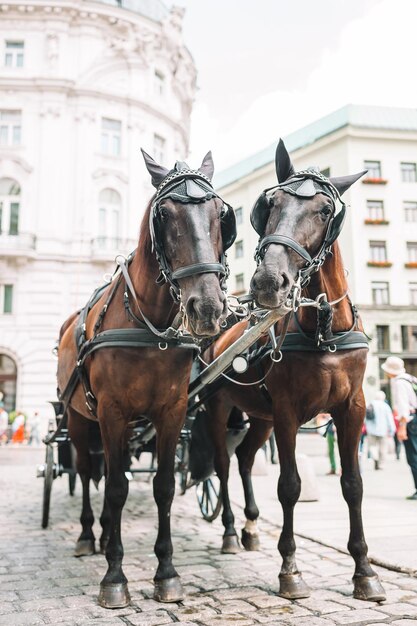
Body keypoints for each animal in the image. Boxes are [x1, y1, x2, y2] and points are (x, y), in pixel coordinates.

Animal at [56, 149, 236, 608]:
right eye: (165, 214)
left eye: (220, 214)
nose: (208, 308)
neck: (150, 327)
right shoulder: (112, 413)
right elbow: (117, 487)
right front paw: (114, 577)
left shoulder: (171, 412)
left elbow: (164, 487)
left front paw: (166, 572)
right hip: (79, 420)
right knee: (87, 470)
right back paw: (89, 535)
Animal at [203, 140, 386, 600]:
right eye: (270, 205)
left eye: (325, 210)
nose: (269, 282)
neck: (324, 329)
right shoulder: (287, 412)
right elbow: (289, 486)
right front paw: (290, 569)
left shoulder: (352, 409)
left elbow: (353, 485)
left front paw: (364, 570)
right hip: (221, 410)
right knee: (223, 464)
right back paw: (230, 531)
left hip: (260, 417)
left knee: (246, 460)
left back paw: (251, 527)